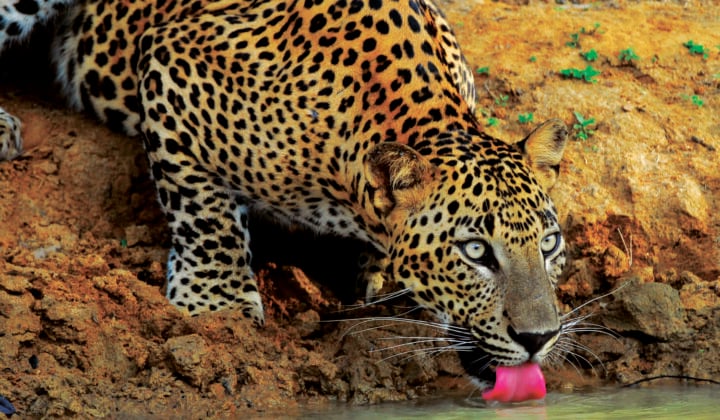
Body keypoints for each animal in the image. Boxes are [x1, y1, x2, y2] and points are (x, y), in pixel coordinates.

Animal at [0, 0, 569, 389]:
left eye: (548, 246)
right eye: (475, 251)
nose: (539, 339)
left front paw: (380, 275)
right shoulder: (173, 64)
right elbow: (203, 213)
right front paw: (216, 303)